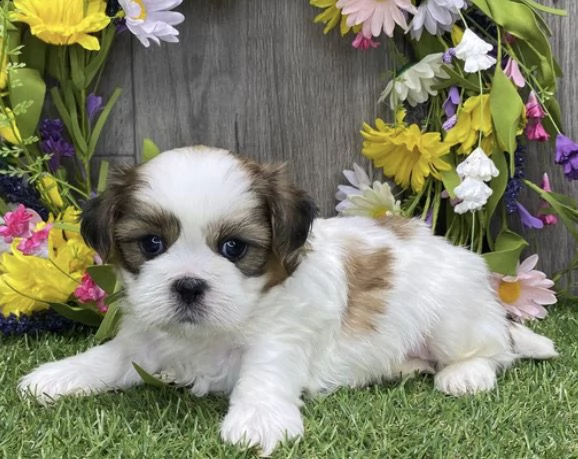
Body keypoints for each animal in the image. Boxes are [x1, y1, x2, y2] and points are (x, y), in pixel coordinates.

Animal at [20, 146, 556, 454]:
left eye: (234, 248)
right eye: (151, 244)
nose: (188, 285)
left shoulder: (281, 335)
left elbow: (264, 374)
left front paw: (258, 420)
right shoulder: (147, 336)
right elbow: (110, 356)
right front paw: (58, 376)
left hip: (451, 315)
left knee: (492, 350)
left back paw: (464, 374)